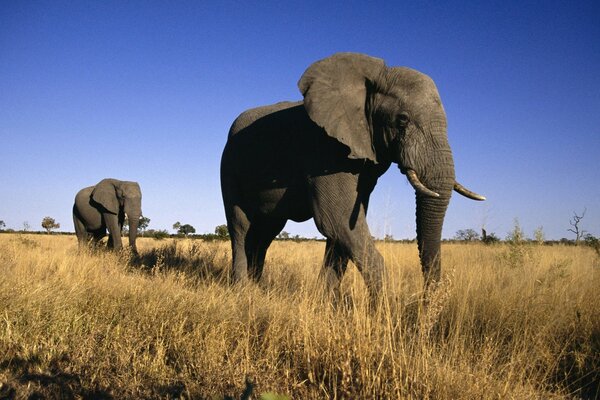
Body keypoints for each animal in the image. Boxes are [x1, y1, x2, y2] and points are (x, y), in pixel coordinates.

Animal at [220, 52, 482, 296]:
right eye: (402, 120)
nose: (425, 301)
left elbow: (342, 228)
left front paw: (326, 303)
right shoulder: (325, 149)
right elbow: (337, 220)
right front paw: (385, 308)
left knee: (266, 231)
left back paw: (258, 287)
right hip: (229, 167)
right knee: (241, 226)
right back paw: (243, 291)